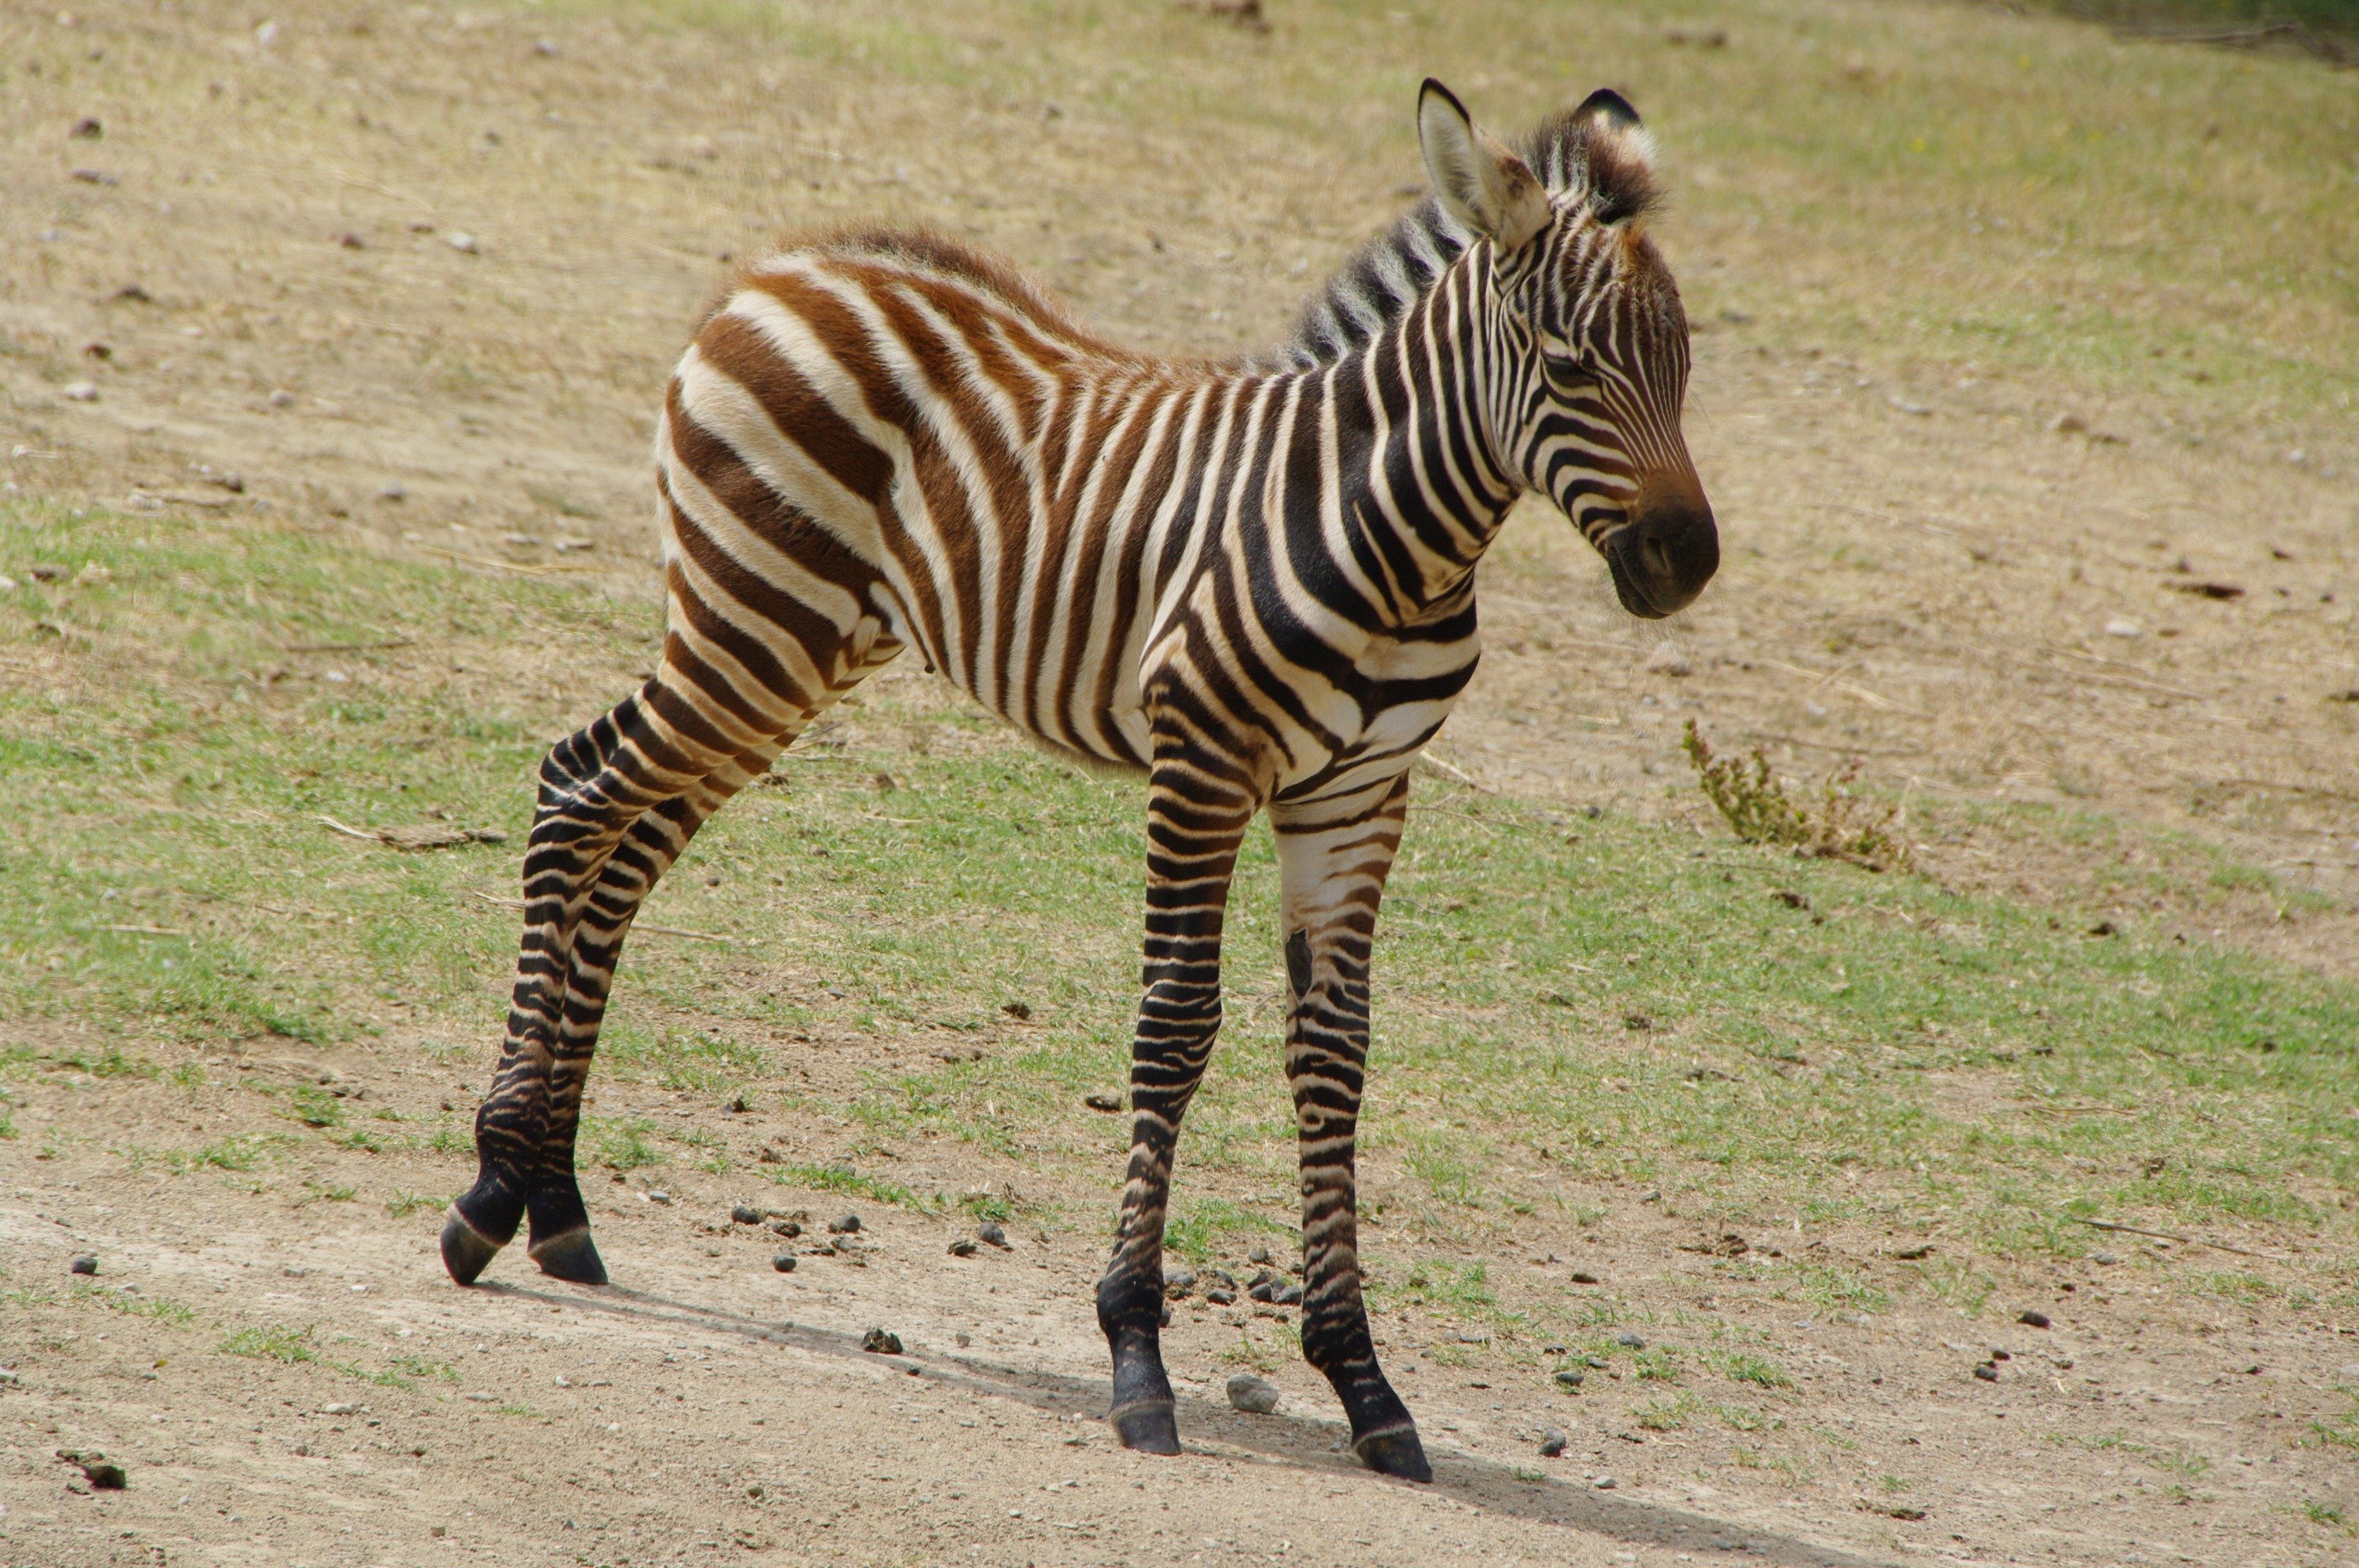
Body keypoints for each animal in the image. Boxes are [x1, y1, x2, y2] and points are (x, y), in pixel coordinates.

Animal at [443, 82, 1717, 1480]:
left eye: (1684, 362)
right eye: (1567, 358)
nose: (1687, 561)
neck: (1401, 542)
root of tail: (778, 267)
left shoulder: (1360, 795)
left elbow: (1336, 1053)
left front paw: (1362, 1381)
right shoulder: (1203, 755)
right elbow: (1174, 1029)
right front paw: (1136, 1353)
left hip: (794, 650)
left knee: (625, 842)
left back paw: (556, 1202)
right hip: (750, 620)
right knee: (575, 795)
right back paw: (491, 1190)